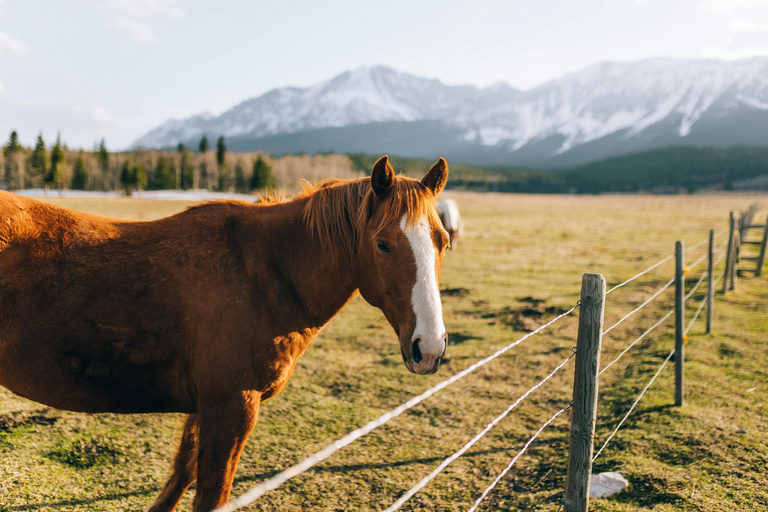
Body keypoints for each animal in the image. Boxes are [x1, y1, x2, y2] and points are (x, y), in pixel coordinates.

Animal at [0, 155, 451, 511]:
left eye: (443, 240)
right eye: (383, 244)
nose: (429, 347)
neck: (266, 272)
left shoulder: (205, 407)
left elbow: (181, 474)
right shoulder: (232, 406)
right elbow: (211, 494)